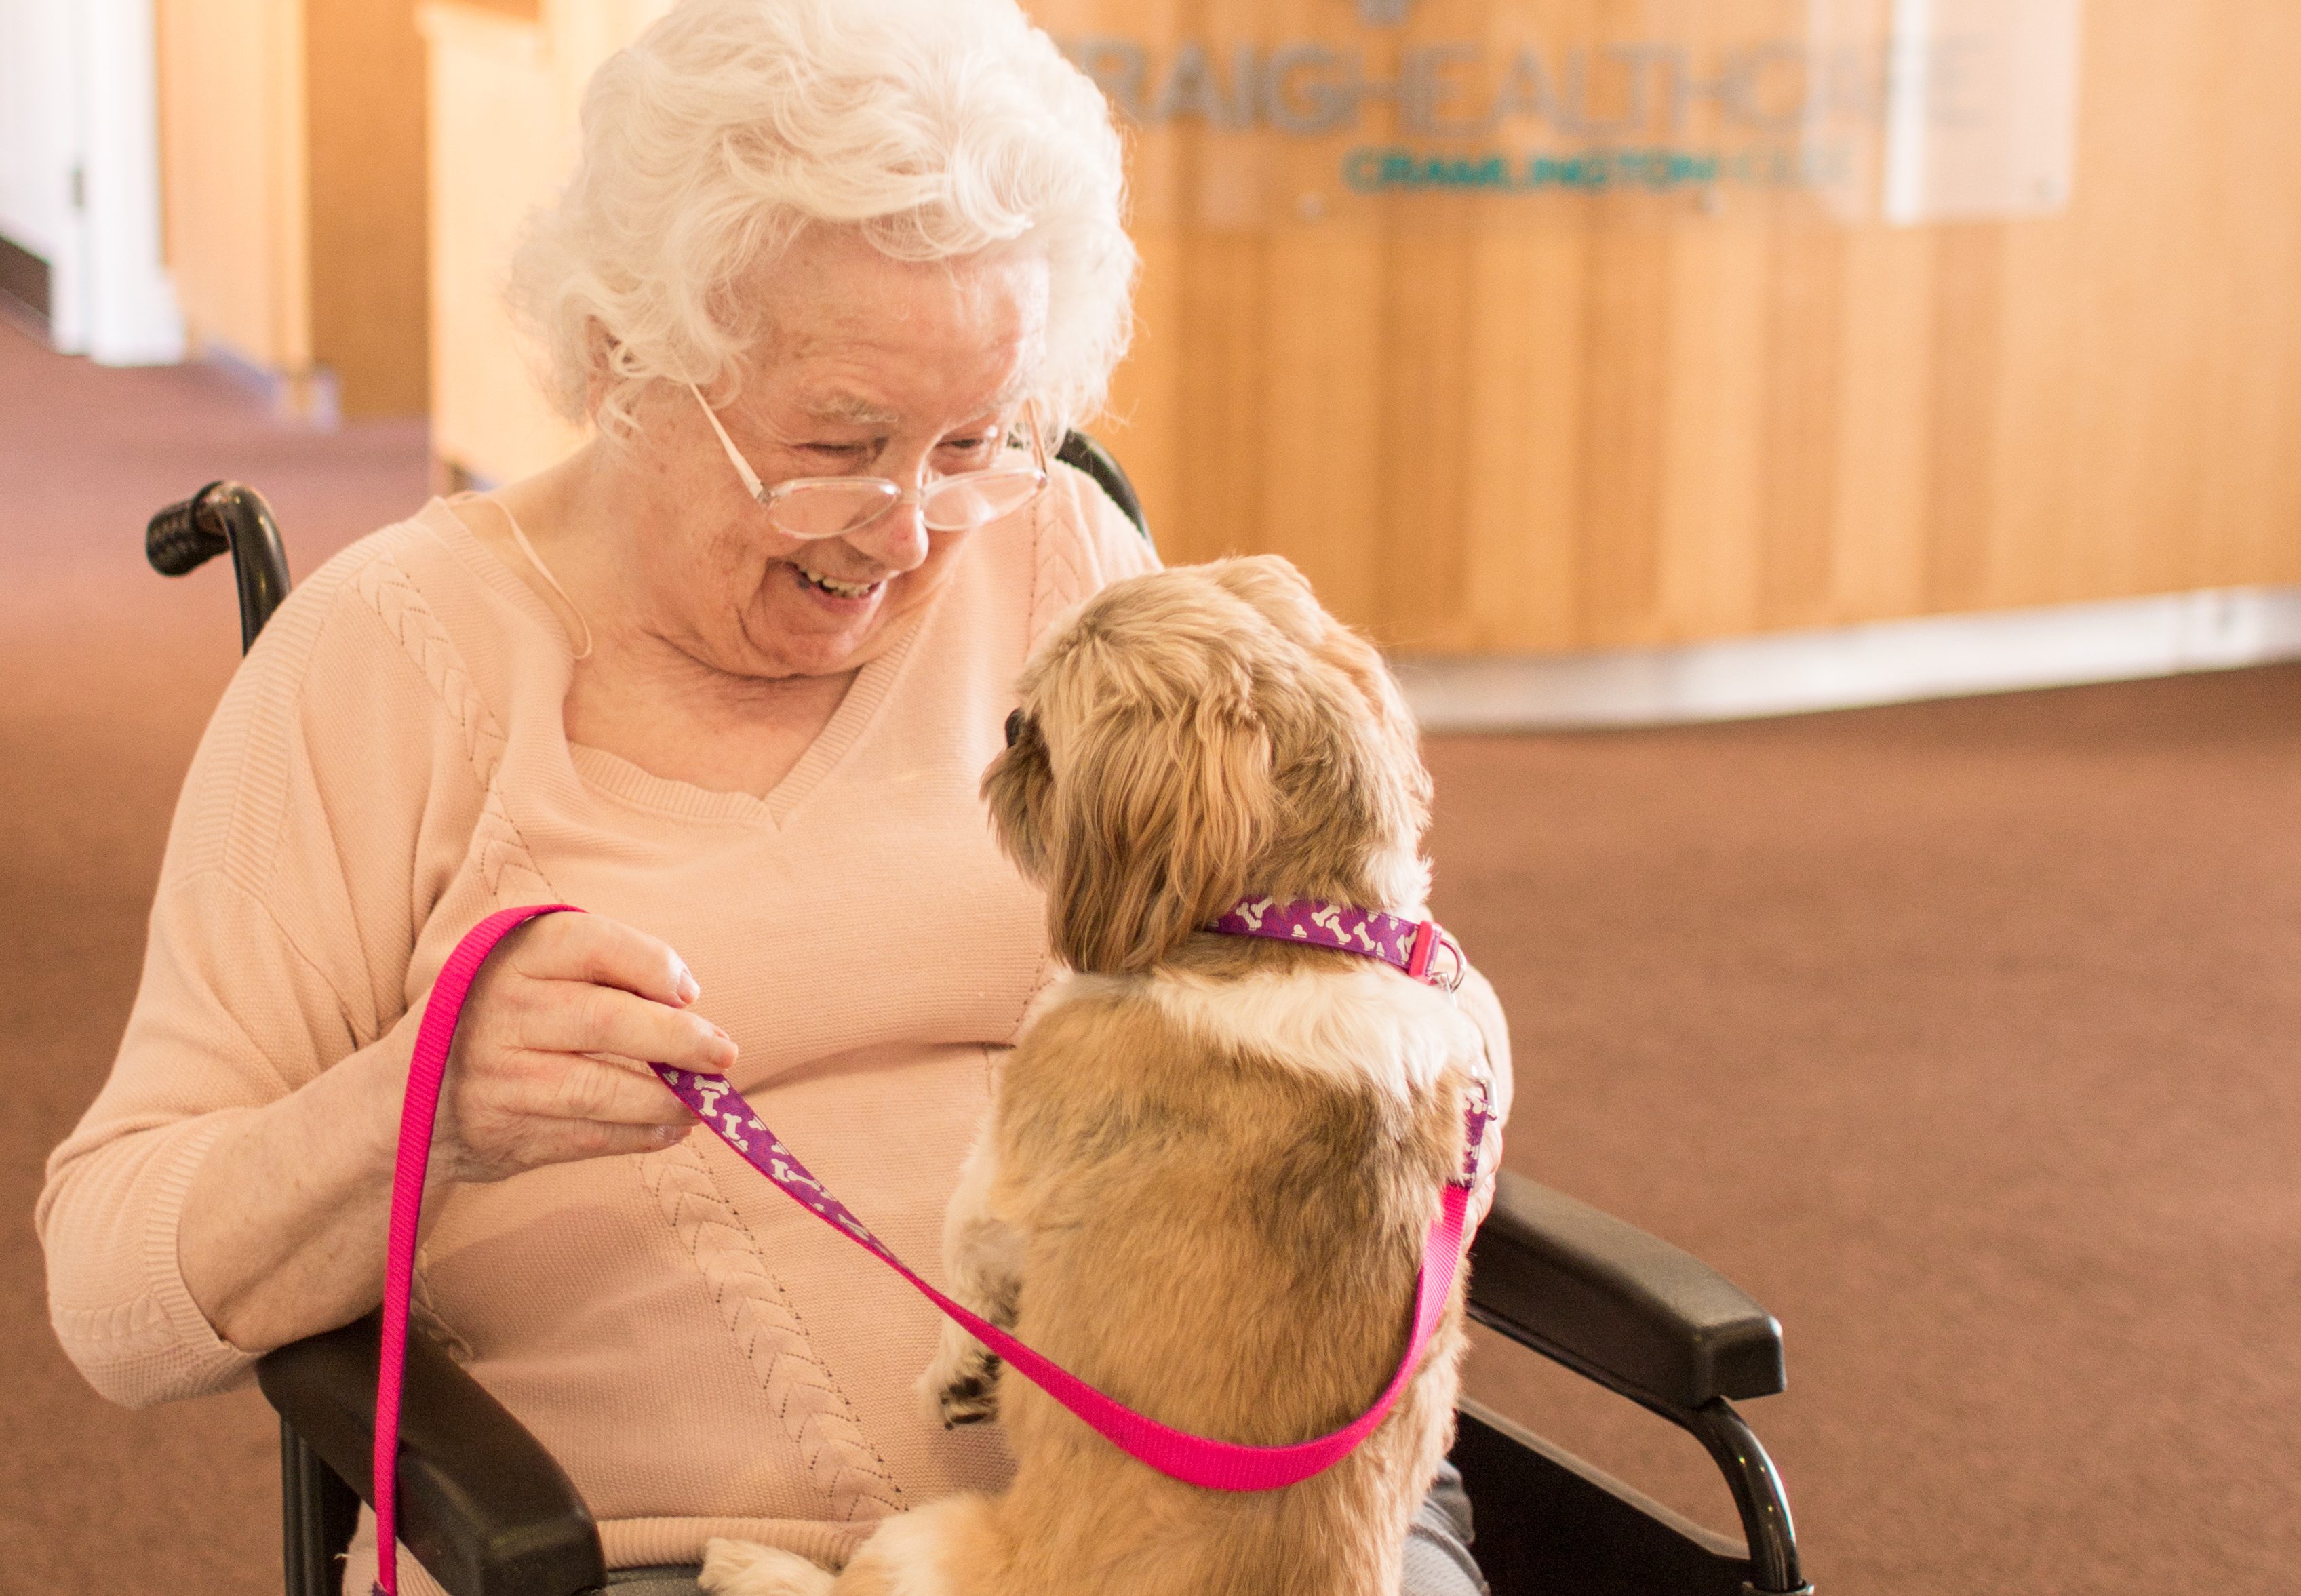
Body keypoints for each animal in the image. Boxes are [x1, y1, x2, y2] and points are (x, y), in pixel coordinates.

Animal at [699, 559, 1491, 1596]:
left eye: (1044, 727)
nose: (1006, 730)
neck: (1302, 931)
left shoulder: (1008, 1163)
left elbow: (964, 1258)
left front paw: (962, 1366)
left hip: (924, 1543)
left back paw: (753, 1559)